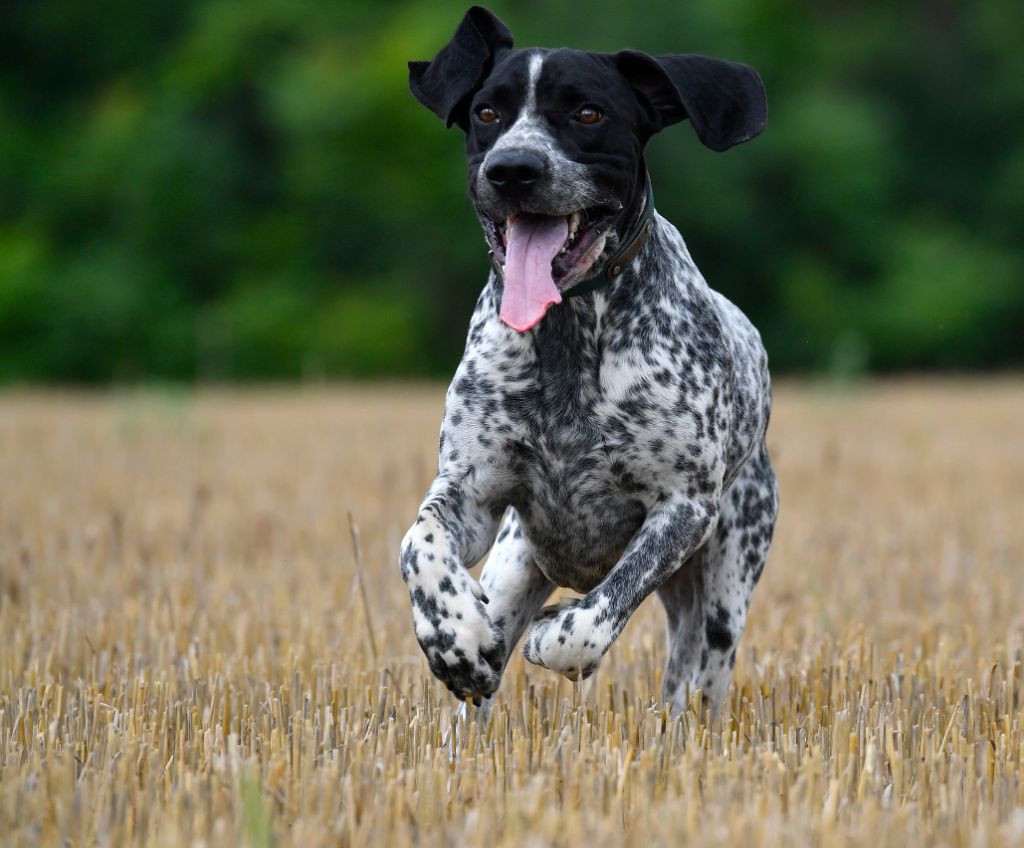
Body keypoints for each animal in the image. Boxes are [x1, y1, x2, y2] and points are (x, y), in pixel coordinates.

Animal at [397, 6, 774, 712]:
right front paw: (455, 635)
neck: (567, 331)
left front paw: (556, 637)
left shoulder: (682, 506)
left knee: (696, 681)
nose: (513, 168)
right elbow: (418, 544)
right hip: (515, 564)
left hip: (724, 587)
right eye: (487, 112)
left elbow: (592, 621)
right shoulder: (472, 491)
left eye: (589, 113)